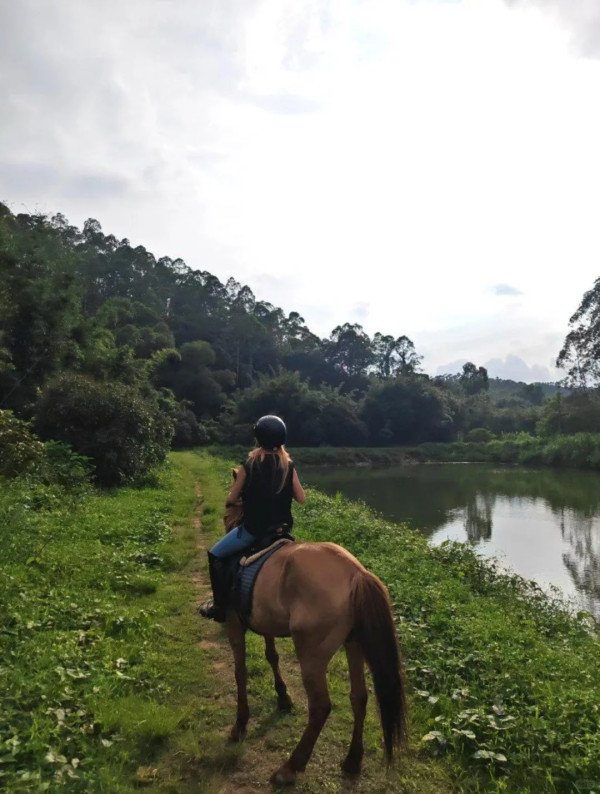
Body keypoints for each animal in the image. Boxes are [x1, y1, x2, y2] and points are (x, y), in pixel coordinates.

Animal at [215, 471, 407, 786]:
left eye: (229, 505)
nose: (227, 519)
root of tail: (356, 574)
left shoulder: (234, 623)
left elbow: (240, 671)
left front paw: (240, 724)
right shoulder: (265, 621)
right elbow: (272, 656)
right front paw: (282, 698)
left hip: (312, 654)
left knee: (320, 706)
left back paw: (291, 767)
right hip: (353, 644)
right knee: (359, 697)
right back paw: (352, 761)